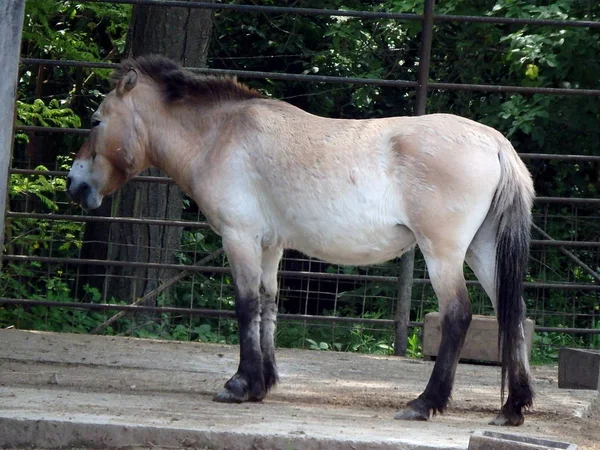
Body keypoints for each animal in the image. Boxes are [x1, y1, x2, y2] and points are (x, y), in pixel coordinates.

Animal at [68, 56, 536, 426]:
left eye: (95, 120)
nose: (75, 185)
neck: (220, 135)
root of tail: (494, 141)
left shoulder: (239, 236)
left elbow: (245, 306)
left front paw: (239, 384)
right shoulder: (270, 245)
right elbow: (267, 305)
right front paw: (263, 384)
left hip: (443, 253)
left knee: (458, 315)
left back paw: (424, 403)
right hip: (481, 250)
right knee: (511, 312)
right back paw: (512, 407)